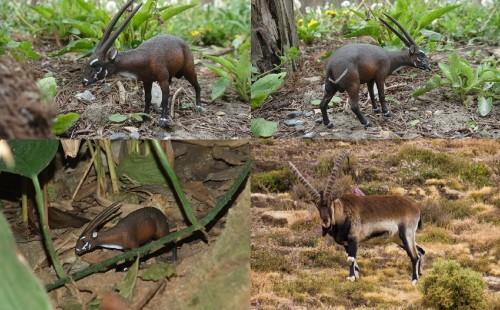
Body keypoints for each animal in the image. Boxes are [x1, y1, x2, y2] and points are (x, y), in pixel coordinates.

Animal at [82, 0, 201, 128]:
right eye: (87, 64)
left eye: (97, 66)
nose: (84, 81)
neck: (145, 56)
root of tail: (184, 43)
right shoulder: (147, 81)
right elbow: (148, 97)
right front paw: (144, 116)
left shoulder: (162, 80)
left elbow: (165, 96)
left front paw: (163, 120)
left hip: (188, 70)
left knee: (196, 85)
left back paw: (199, 106)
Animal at [290, 151, 426, 284]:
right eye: (317, 206)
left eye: (330, 203)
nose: (325, 221)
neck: (342, 212)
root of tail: (416, 207)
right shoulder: (346, 244)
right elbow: (352, 261)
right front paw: (355, 277)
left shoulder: (354, 239)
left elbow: (351, 259)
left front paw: (351, 278)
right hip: (398, 238)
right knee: (420, 251)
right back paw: (420, 275)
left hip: (406, 234)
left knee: (414, 255)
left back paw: (414, 280)